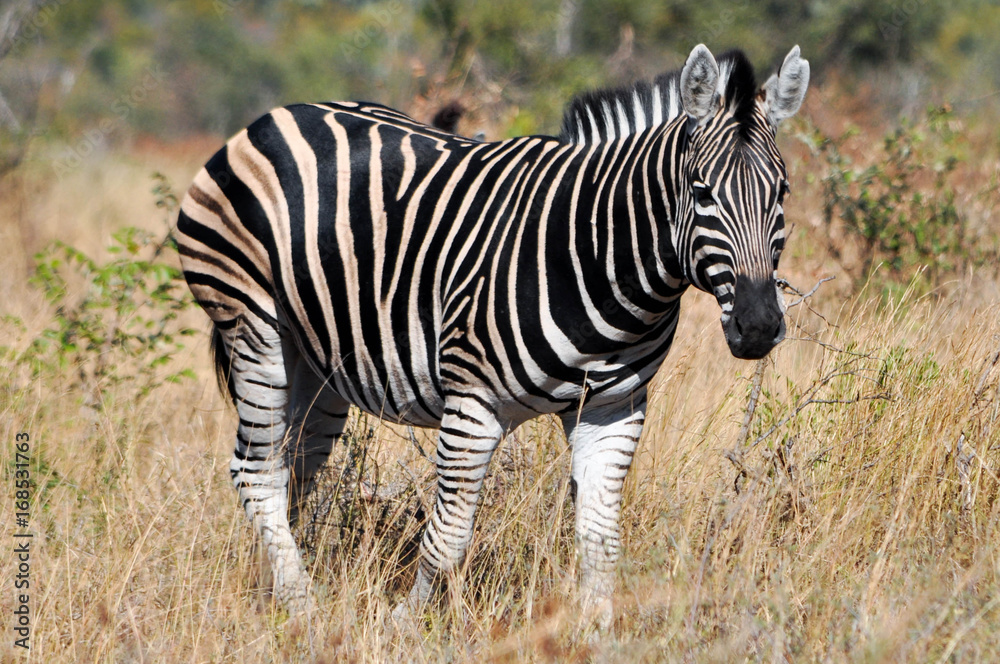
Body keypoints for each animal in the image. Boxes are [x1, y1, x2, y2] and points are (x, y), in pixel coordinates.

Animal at [176, 43, 809, 629]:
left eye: (783, 193)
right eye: (701, 192)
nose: (758, 326)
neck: (599, 259)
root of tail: (278, 115)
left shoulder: (613, 408)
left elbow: (601, 539)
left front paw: (597, 633)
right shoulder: (473, 404)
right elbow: (448, 537)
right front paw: (405, 627)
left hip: (319, 363)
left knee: (294, 471)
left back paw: (277, 594)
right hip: (254, 327)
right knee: (256, 472)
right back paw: (304, 610)